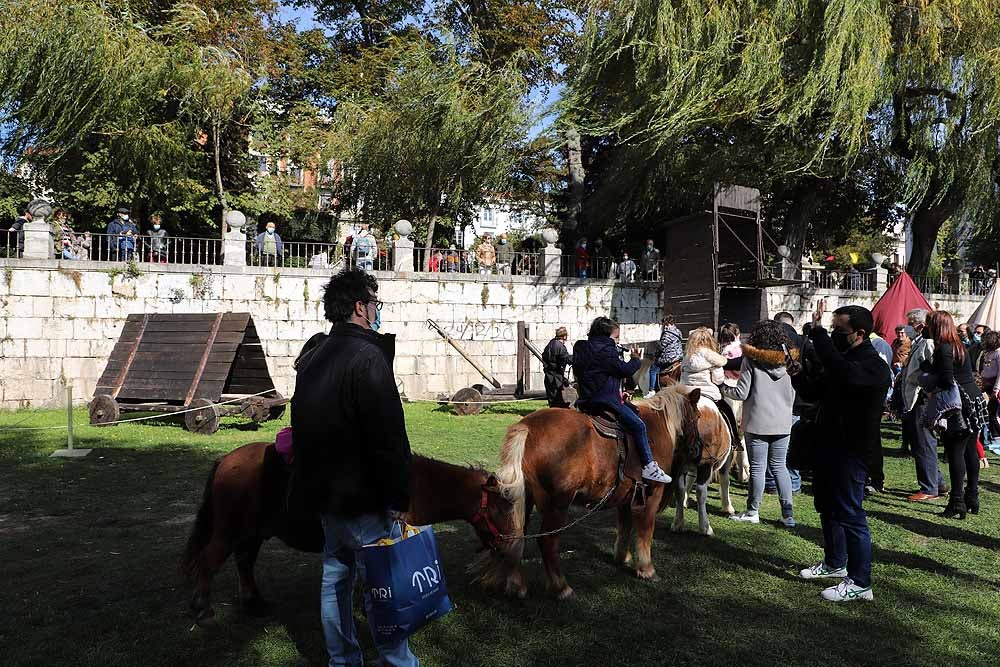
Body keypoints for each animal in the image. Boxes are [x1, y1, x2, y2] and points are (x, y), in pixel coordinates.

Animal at [183, 444, 516, 628]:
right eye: (502, 506)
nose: (508, 545)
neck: (414, 485)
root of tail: (226, 460)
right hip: (229, 532)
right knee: (209, 561)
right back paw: (203, 609)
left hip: (252, 534)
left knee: (244, 563)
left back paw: (254, 603)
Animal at [470, 386, 700, 600]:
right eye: (697, 416)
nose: (698, 448)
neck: (657, 427)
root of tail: (527, 427)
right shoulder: (650, 497)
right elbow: (645, 532)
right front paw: (646, 569)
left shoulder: (626, 498)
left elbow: (624, 527)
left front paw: (622, 557)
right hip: (558, 505)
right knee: (547, 542)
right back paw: (561, 587)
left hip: (523, 501)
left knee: (516, 535)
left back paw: (516, 584)